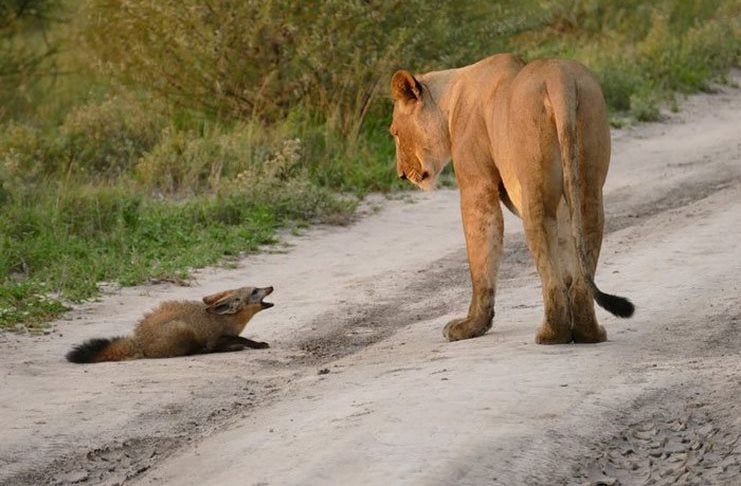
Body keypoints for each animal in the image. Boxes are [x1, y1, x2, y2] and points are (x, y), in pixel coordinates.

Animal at [66, 286, 274, 362]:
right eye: (255, 291)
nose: (270, 287)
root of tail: (138, 342)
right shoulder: (215, 338)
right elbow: (239, 339)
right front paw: (257, 344)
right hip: (182, 329)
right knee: (194, 352)